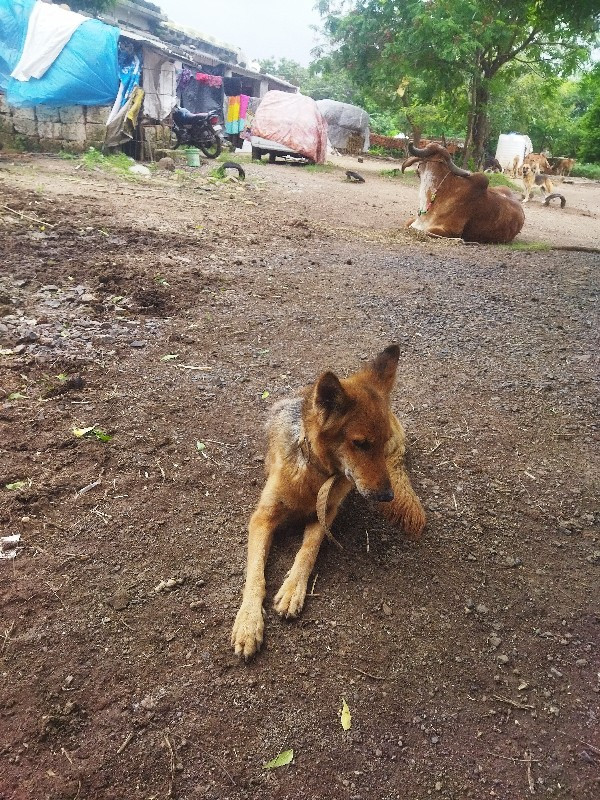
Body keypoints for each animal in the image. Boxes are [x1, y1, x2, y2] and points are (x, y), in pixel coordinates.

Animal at [231, 344, 426, 656]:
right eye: (360, 444)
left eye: (379, 443)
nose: (387, 496)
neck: (316, 472)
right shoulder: (263, 517)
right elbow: (256, 573)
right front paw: (249, 622)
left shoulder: (327, 512)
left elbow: (308, 551)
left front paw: (292, 590)